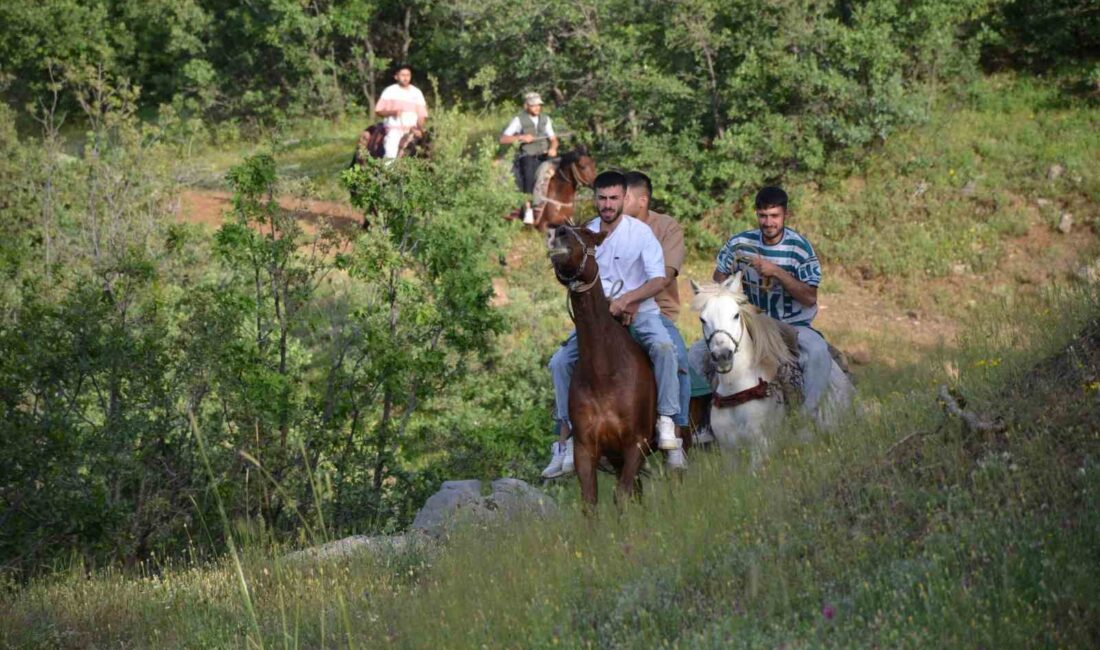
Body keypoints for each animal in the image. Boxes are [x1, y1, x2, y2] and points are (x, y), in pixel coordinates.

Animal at [547, 225, 655, 508]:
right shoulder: (586, 450)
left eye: (588, 234)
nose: (559, 231)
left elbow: (622, 495)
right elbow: (591, 501)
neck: (604, 374)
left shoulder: (636, 444)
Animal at [690, 274, 853, 461]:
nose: (722, 356)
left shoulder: (761, 447)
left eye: (736, 315)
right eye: (702, 319)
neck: (736, 390)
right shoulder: (729, 452)